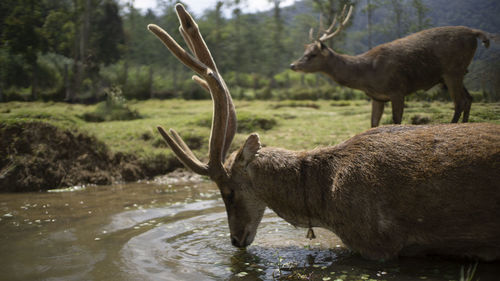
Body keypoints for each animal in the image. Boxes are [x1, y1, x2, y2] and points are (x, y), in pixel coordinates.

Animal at [290, 6, 492, 126]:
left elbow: (396, 121)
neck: (367, 75)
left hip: (453, 70)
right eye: (305, 51)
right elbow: (373, 124)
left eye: (312, 54)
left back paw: (453, 125)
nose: (293, 65)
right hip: (455, 73)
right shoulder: (377, 97)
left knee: (460, 101)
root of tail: (474, 33)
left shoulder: (397, 90)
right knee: (469, 98)